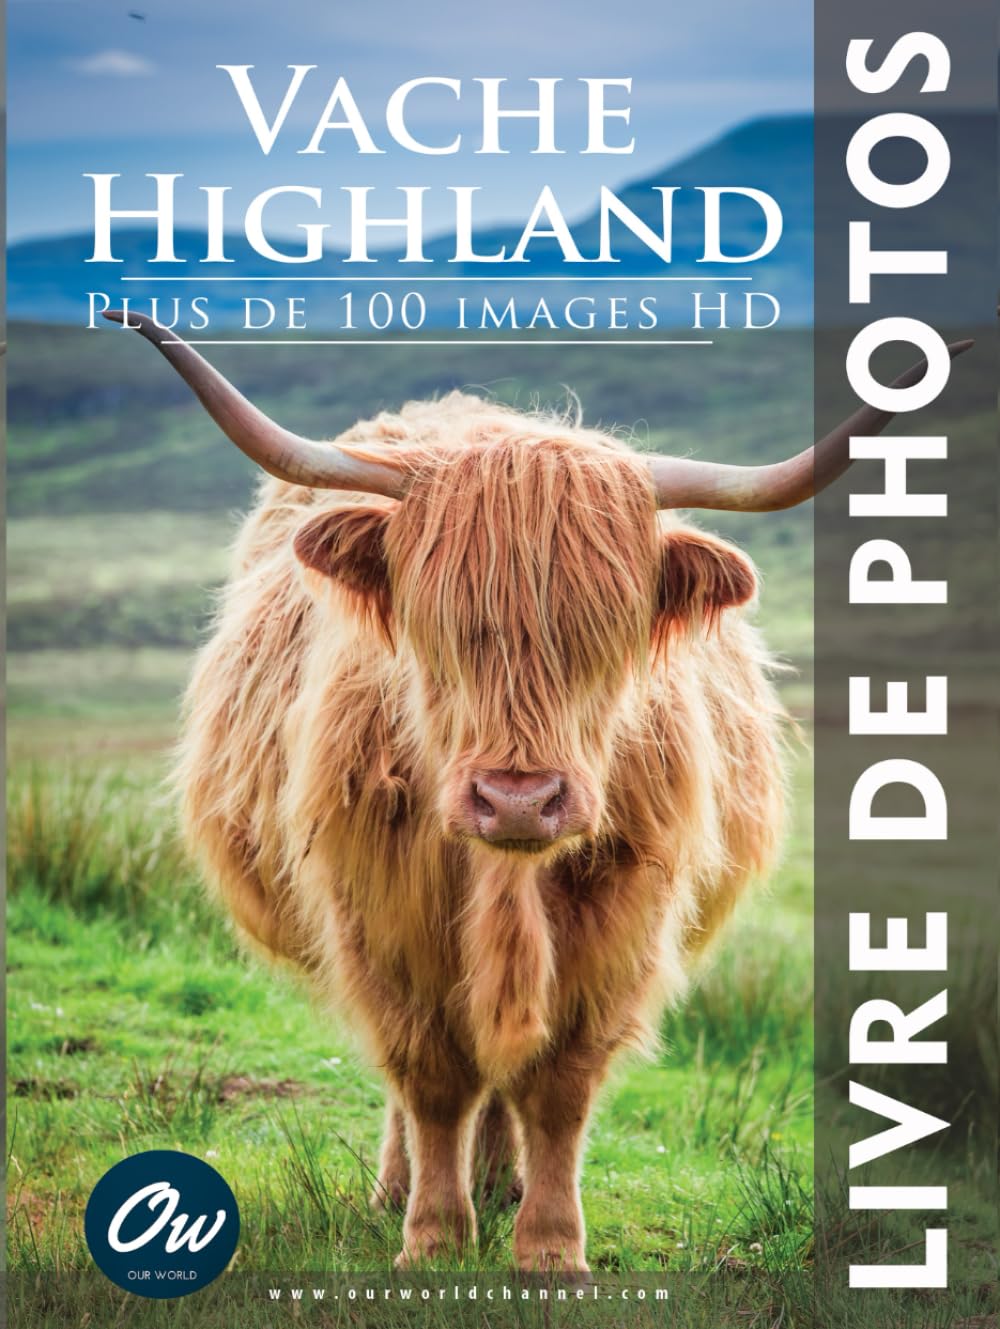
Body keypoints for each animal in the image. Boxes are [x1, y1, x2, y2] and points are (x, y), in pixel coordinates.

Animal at [105, 310, 968, 1273]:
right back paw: (405, 1186)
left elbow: (556, 1085)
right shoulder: (379, 917)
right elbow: (431, 1077)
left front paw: (551, 1248)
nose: (517, 799)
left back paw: (500, 1182)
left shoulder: (621, 923)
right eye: (438, 626)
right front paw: (433, 1236)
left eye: (608, 632)